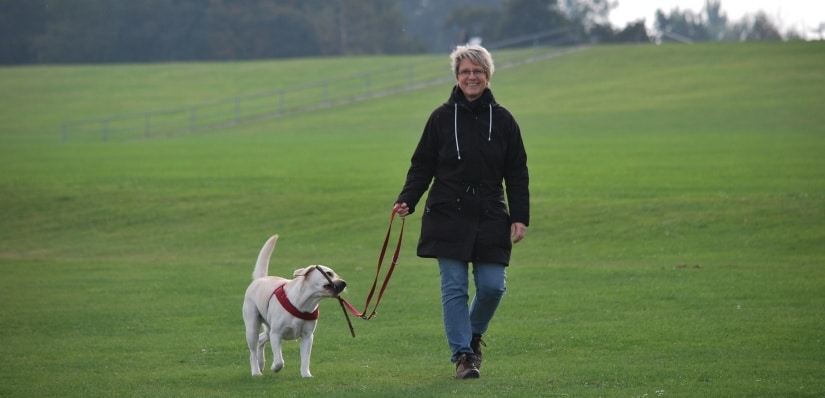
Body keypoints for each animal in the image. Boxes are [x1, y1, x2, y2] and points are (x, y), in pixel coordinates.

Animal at [245, 235, 348, 378]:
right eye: (329, 273)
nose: (344, 283)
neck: (304, 303)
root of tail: (260, 278)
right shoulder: (276, 334)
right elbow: (279, 360)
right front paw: (275, 367)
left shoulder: (307, 336)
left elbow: (305, 359)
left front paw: (306, 375)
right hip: (252, 327)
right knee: (253, 350)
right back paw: (256, 371)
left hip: (268, 329)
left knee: (260, 340)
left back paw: (261, 364)